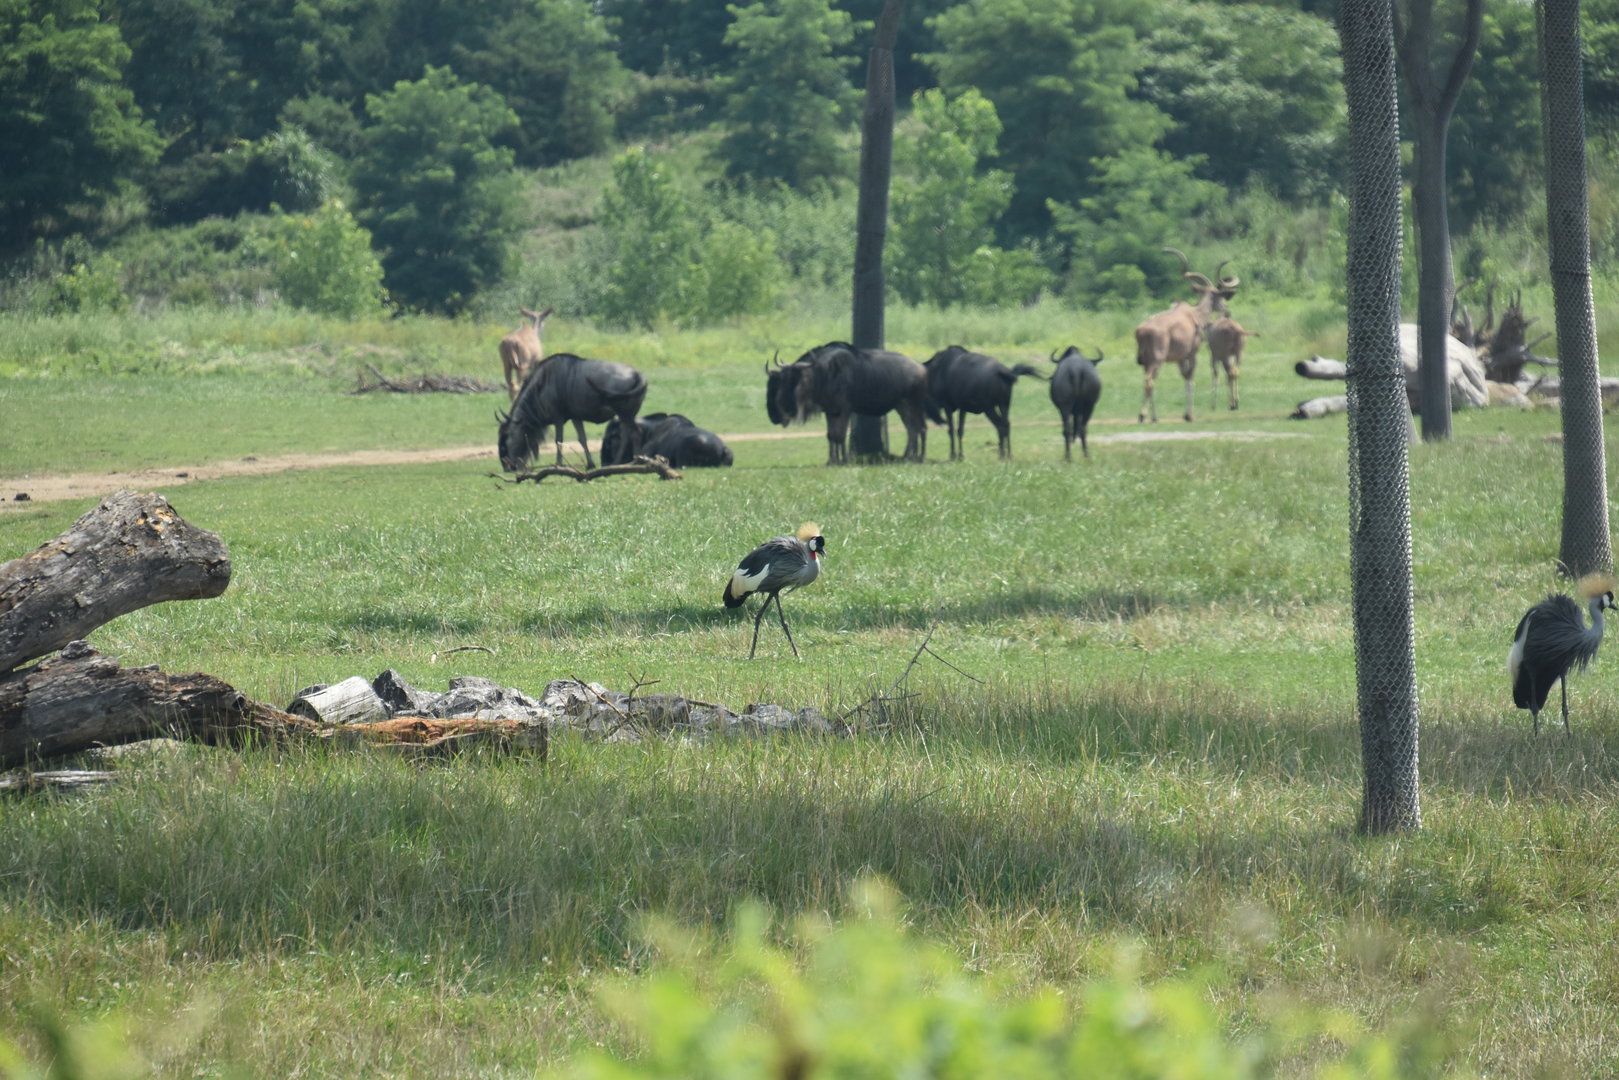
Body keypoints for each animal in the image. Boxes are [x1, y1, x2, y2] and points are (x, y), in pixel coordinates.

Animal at [1134, 248, 1238, 422]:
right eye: (1220, 297)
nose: (1227, 310)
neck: (1195, 314)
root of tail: (1141, 330)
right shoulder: (1191, 354)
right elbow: (1190, 379)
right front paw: (1189, 415)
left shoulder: (1179, 359)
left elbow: (1184, 378)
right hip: (1156, 360)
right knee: (1149, 380)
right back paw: (1142, 415)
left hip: (1146, 362)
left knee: (1150, 382)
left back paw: (1154, 417)